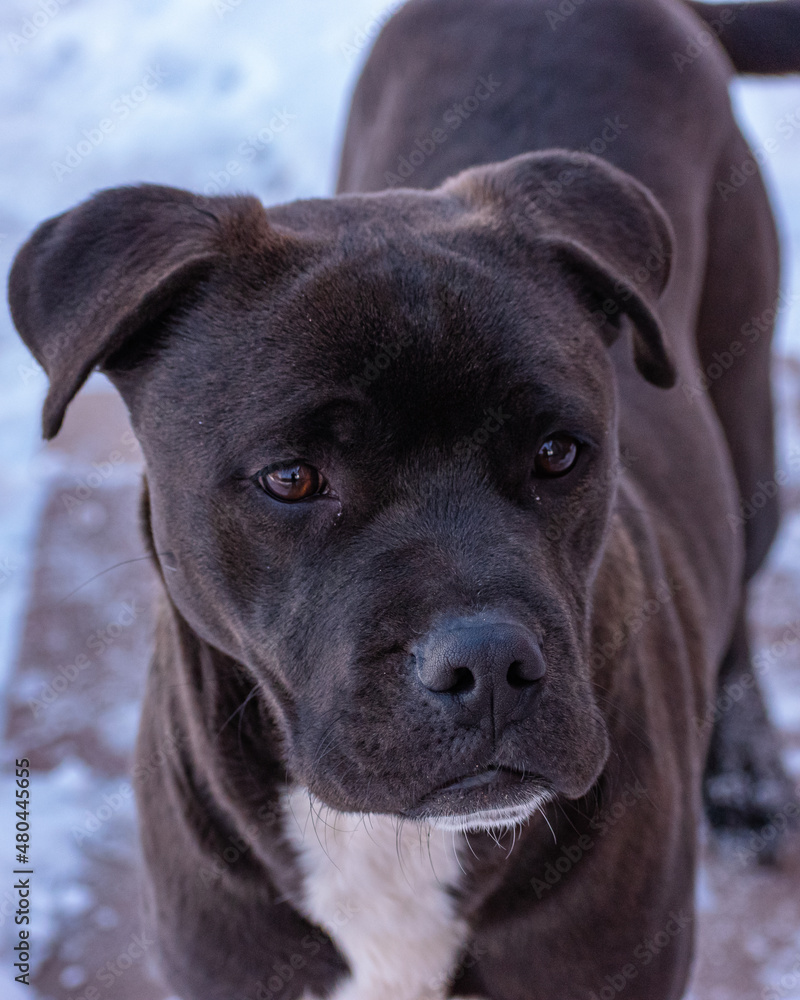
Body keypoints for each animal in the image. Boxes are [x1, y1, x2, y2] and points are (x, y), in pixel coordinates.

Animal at [6, 1, 800, 1000]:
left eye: (557, 453)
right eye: (292, 477)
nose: (491, 664)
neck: (387, 849)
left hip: (745, 411)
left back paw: (745, 780)